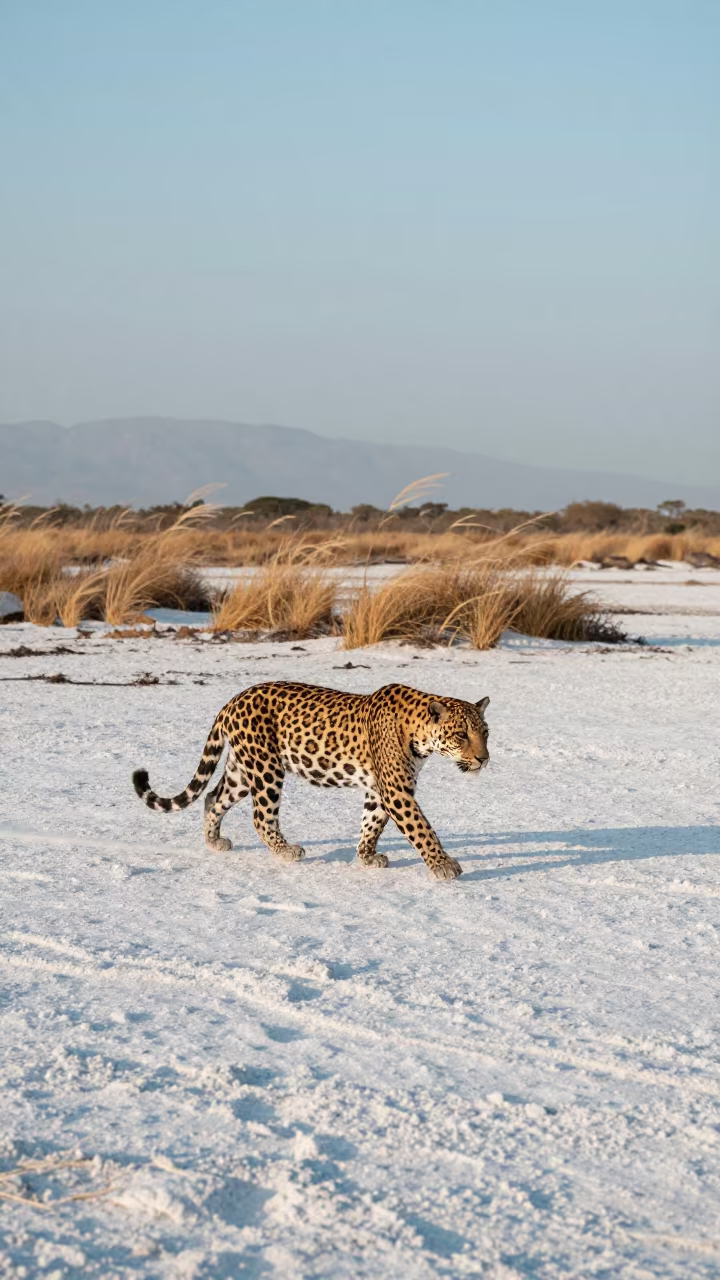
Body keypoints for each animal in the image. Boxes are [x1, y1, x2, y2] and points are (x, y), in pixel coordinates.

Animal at [132, 681, 490, 880]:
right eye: (461, 735)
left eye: (485, 733)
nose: (483, 759)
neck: (420, 734)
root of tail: (232, 701)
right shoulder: (396, 791)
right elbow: (422, 828)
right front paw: (443, 865)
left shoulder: (380, 789)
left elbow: (371, 824)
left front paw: (366, 856)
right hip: (266, 768)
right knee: (261, 816)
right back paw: (285, 850)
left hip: (243, 771)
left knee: (213, 797)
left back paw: (213, 841)